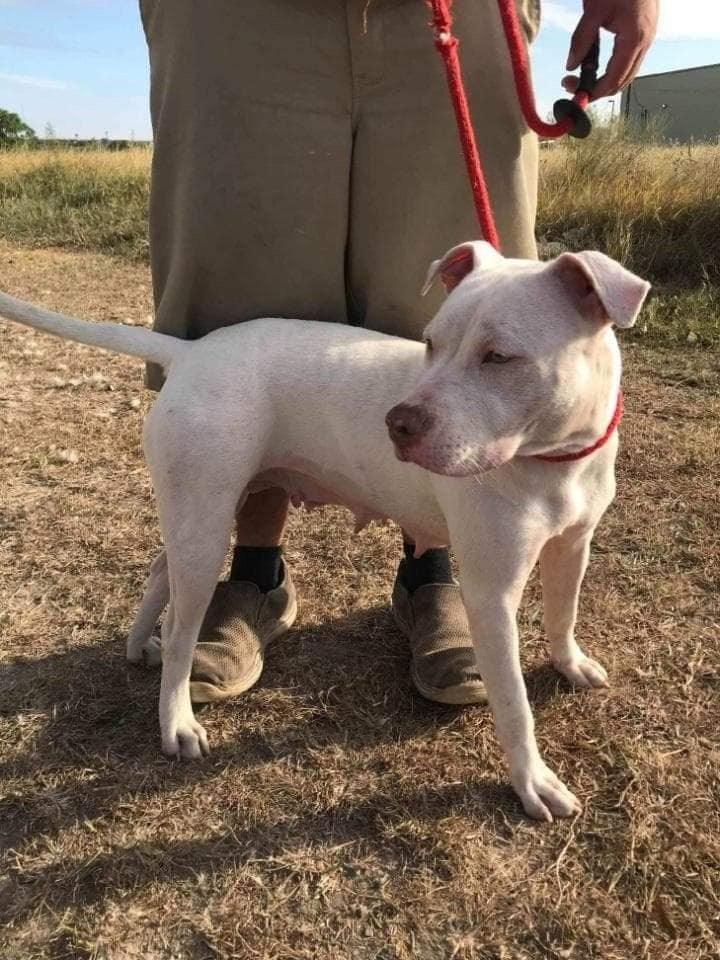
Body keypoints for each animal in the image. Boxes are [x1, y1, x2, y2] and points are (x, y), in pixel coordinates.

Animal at [0, 244, 648, 820]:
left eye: (499, 357)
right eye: (431, 342)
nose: (397, 422)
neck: (553, 460)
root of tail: (189, 352)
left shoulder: (573, 546)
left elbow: (563, 613)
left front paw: (569, 665)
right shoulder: (492, 596)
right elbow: (513, 701)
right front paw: (532, 781)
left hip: (198, 512)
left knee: (162, 571)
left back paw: (139, 648)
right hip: (206, 524)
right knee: (184, 632)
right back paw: (177, 720)